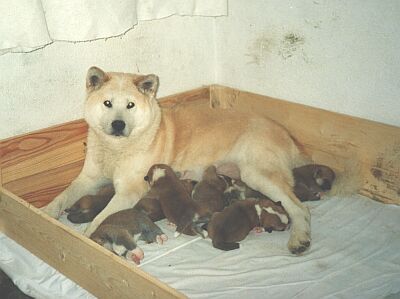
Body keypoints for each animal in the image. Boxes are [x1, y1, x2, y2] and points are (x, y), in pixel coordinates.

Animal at [44, 67, 312, 254]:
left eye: (130, 105)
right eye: (107, 103)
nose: (118, 125)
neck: (117, 147)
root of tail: (286, 134)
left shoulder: (128, 192)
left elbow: (100, 218)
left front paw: (87, 236)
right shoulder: (87, 179)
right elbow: (61, 197)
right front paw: (45, 213)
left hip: (256, 174)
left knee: (300, 208)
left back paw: (299, 239)